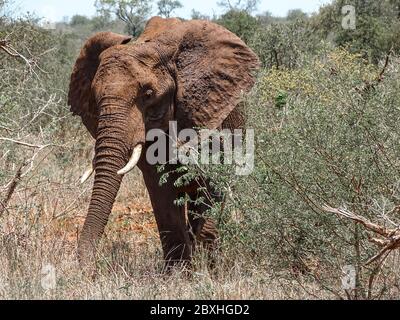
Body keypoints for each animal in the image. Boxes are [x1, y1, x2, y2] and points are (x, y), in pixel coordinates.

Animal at [68, 15, 260, 270]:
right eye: (95, 97)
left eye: (148, 94)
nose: (88, 267)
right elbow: (161, 190)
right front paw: (178, 273)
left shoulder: (207, 114)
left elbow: (212, 183)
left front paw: (208, 269)